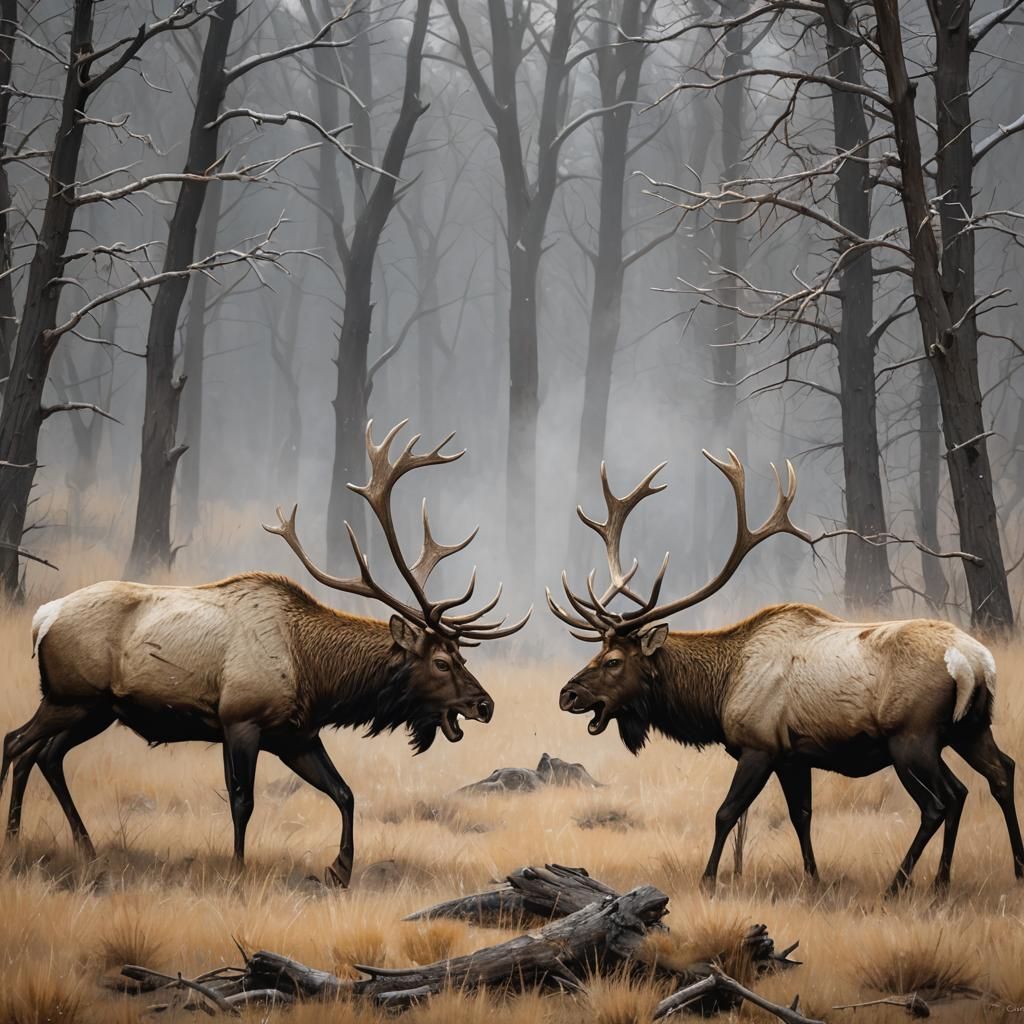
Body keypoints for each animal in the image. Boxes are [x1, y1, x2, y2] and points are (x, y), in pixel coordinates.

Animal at [1, 421, 529, 886]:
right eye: (441, 662)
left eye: (463, 657)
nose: (485, 704)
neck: (317, 675)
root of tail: (42, 618)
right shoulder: (240, 718)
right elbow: (242, 802)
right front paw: (237, 870)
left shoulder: (294, 735)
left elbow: (344, 793)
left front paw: (340, 870)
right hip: (72, 697)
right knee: (17, 742)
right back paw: (19, 837)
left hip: (95, 710)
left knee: (44, 754)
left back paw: (66, 844)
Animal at [549, 451, 1023, 895]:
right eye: (597, 651)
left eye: (613, 660)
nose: (567, 694)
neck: (719, 692)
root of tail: (975, 661)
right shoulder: (795, 755)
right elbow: (802, 816)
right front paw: (813, 878)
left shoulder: (759, 745)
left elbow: (725, 813)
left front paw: (708, 879)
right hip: (968, 729)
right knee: (993, 776)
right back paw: (985, 874)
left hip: (911, 738)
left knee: (939, 803)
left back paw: (898, 883)